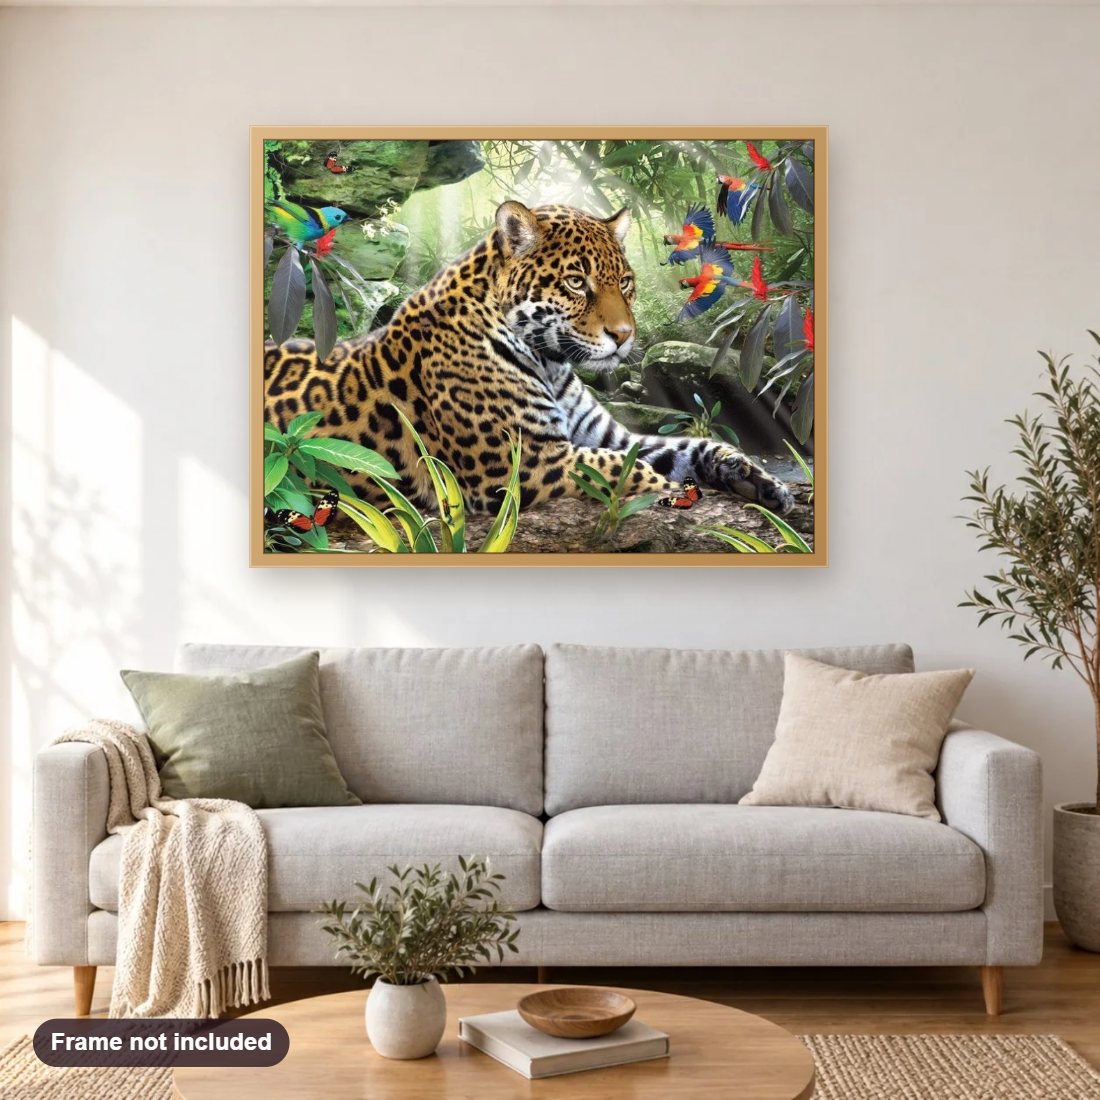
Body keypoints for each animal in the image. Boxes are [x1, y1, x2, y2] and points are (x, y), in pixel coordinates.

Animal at [264, 200, 794, 519]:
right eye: (576, 282)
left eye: (625, 282)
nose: (624, 336)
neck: (552, 362)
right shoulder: (519, 464)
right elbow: (621, 469)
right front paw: (672, 490)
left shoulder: (609, 437)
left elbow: (691, 447)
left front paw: (761, 481)